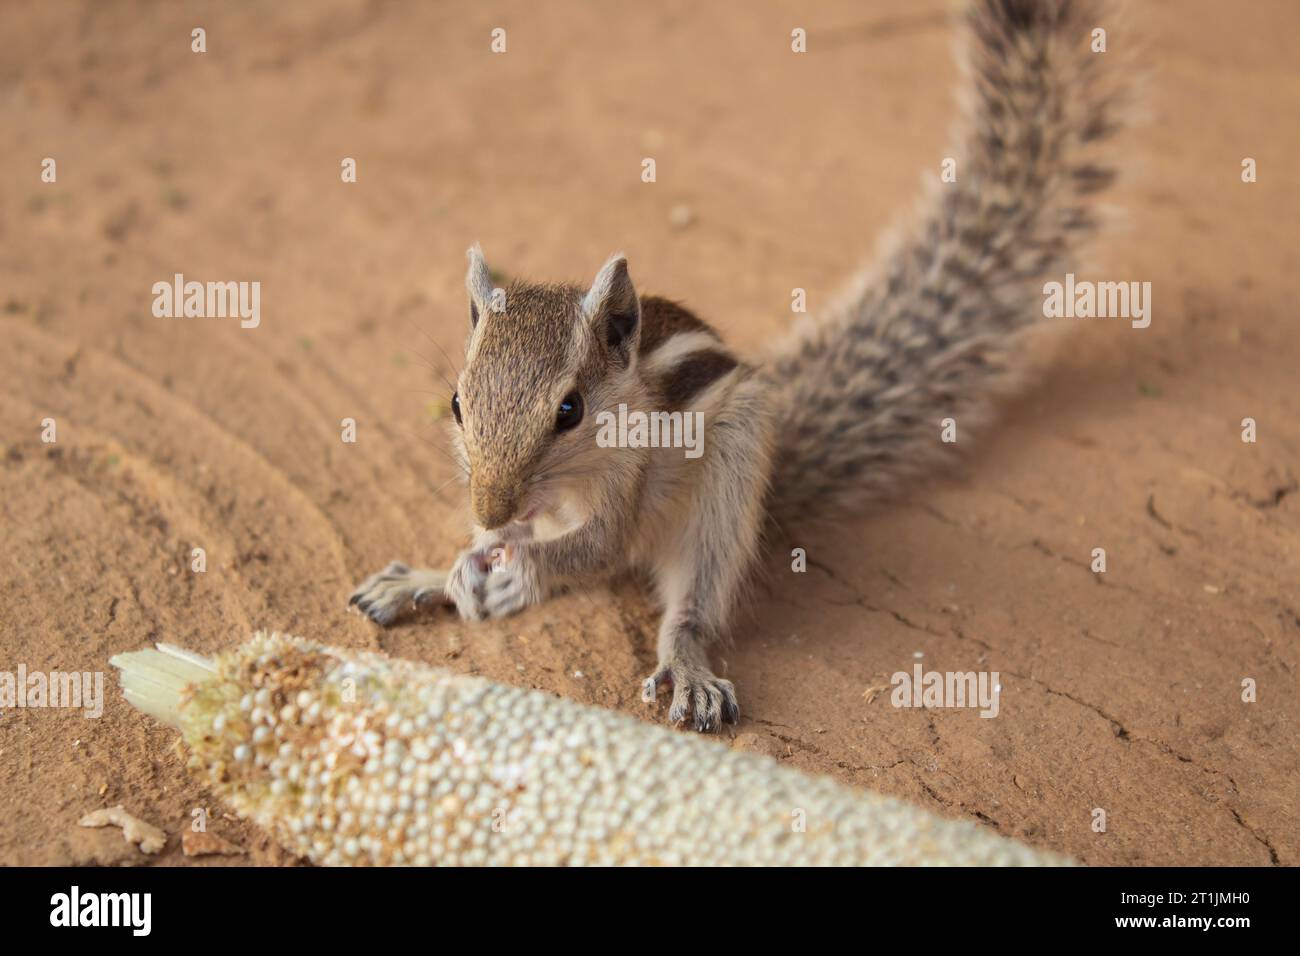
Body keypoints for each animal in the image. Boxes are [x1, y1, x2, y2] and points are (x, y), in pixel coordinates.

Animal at [353, 0, 1128, 733]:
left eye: (569, 411)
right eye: (457, 404)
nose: (489, 508)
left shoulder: (626, 485)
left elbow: (596, 550)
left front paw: (521, 570)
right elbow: (510, 541)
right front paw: (459, 563)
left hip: (728, 484)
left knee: (693, 606)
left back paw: (689, 670)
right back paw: (424, 580)